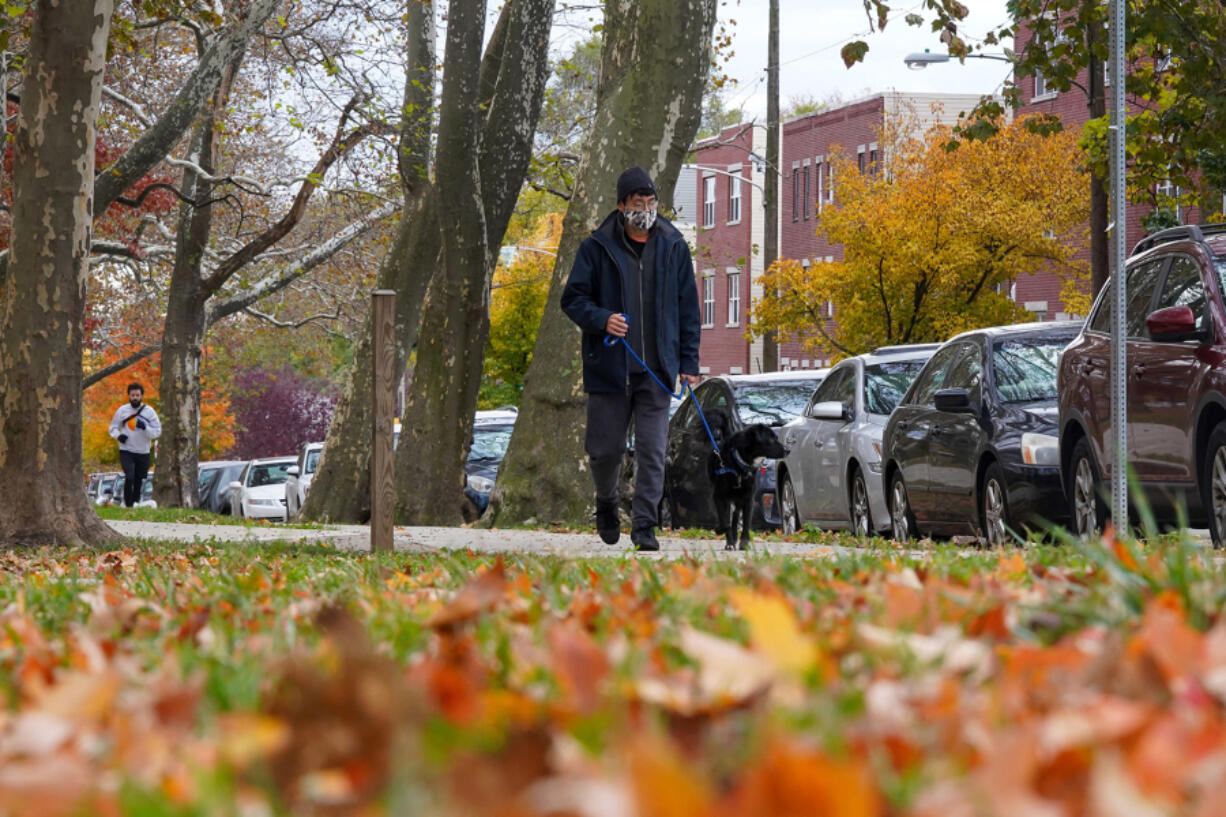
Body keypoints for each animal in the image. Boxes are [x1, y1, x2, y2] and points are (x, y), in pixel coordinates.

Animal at [706, 421, 789, 549]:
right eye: (771, 439)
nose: (788, 450)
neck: (739, 465)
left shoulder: (748, 497)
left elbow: (745, 523)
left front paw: (744, 543)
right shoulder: (719, 496)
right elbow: (725, 521)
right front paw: (721, 532)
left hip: (740, 498)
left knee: (735, 515)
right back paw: (730, 541)